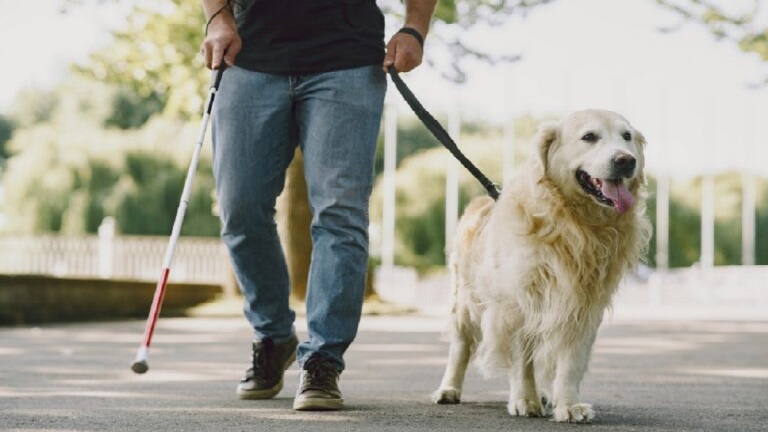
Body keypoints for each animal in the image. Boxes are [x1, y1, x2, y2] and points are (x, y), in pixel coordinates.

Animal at [432, 109, 648, 424]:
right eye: (589, 137)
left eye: (627, 136)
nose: (626, 160)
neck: (573, 224)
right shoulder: (518, 303)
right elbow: (522, 359)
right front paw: (525, 399)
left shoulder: (583, 306)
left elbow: (570, 362)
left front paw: (569, 405)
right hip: (465, 303)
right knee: (460, 346)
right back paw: (449, 389)